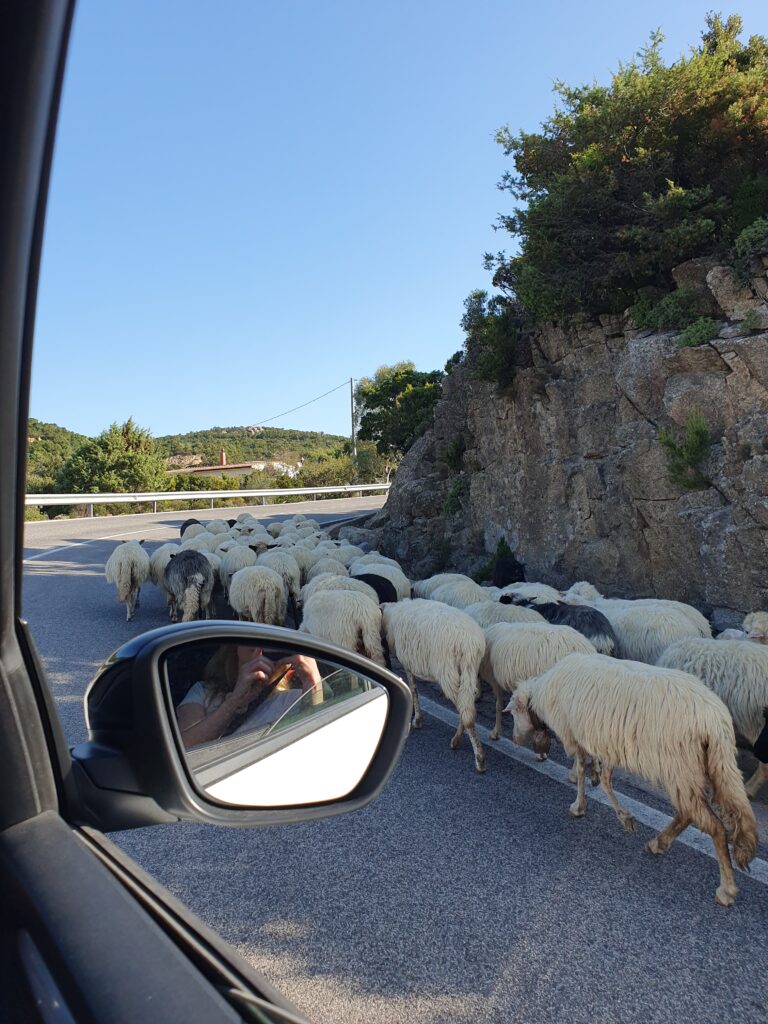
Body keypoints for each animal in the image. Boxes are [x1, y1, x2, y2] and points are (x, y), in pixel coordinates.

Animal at [381, 599, 487, 773]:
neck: (393, 616)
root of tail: (469, 642)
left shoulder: (408, 664)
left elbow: (414, 690)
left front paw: (417, 720)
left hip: (448, 672)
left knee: (465, 710)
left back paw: (479, 758)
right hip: (470, 670)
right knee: (468, 706)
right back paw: (457, 740)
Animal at [507, 652, 758, 906]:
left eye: (515, 713)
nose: (515, 739)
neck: (541, 695)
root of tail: (716, 722)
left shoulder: (576, 734)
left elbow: (585, 773)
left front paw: (583, 807)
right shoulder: (604, 740)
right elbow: (602, 776)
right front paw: (604, 794)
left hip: (680, 767)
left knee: (713, 826)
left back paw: (726, 889)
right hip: (705, 767)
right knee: (690, 814)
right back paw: (659, 843)